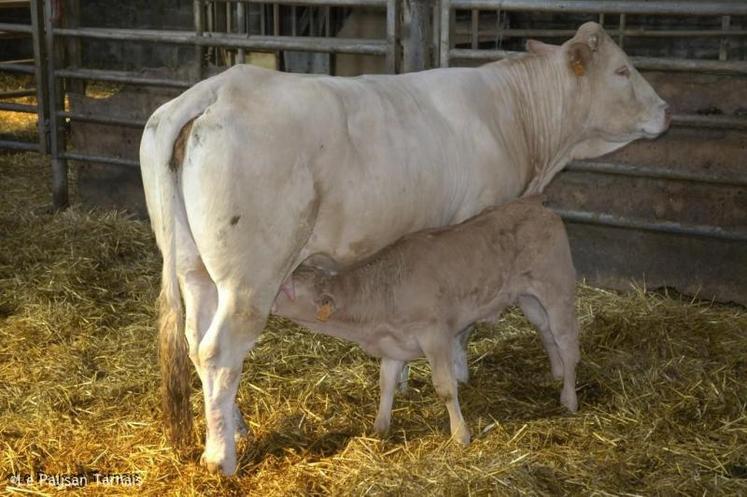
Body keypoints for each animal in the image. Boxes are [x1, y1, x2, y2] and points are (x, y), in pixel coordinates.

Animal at [140, 22, 672, 472]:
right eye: (622, 70)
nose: (666, 110)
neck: (515, 117)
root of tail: (219, 87)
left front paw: (407, 377)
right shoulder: (475, 220)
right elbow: (463, 324)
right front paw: (458, 372)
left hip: (194, 267)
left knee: (196, 342)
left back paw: (237, 427)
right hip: (249, 278)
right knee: (220, 351)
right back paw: (221, 456)